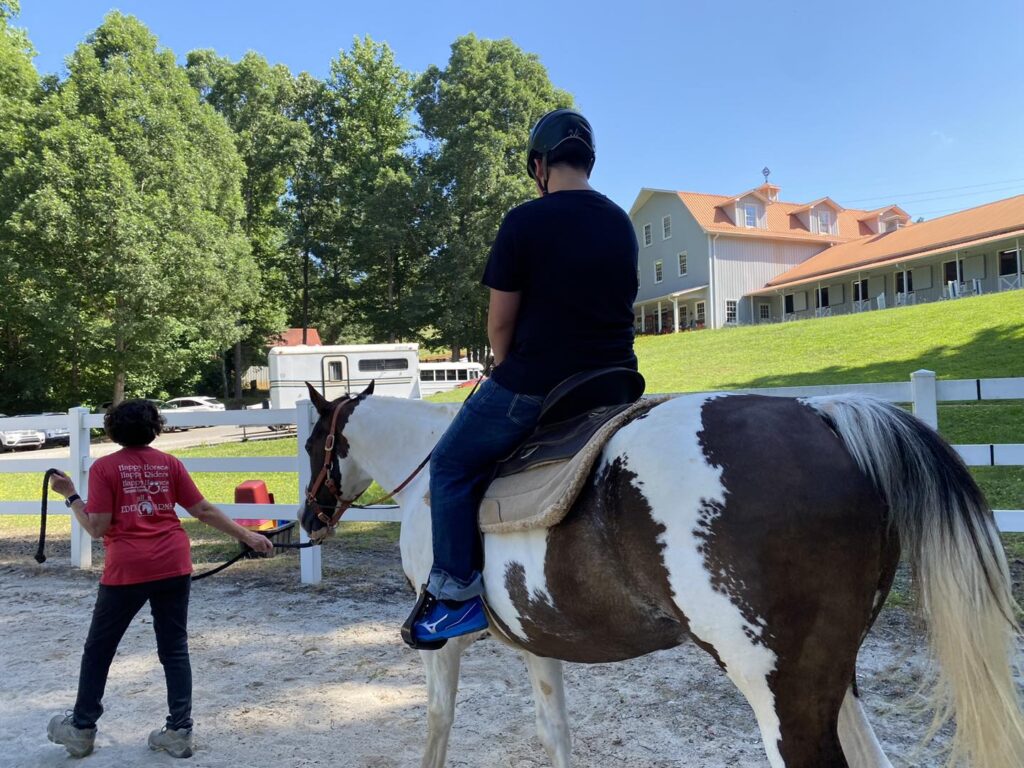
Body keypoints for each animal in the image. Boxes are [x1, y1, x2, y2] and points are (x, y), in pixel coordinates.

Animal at [299, 382, 1024, 765]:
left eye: (312, 444)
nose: (309, 518)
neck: (427, 467)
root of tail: (824, 414)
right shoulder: (536, 642)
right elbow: (554, 729)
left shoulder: (441, 644)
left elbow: (438, 721)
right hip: (831, 679)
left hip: (780, 694)